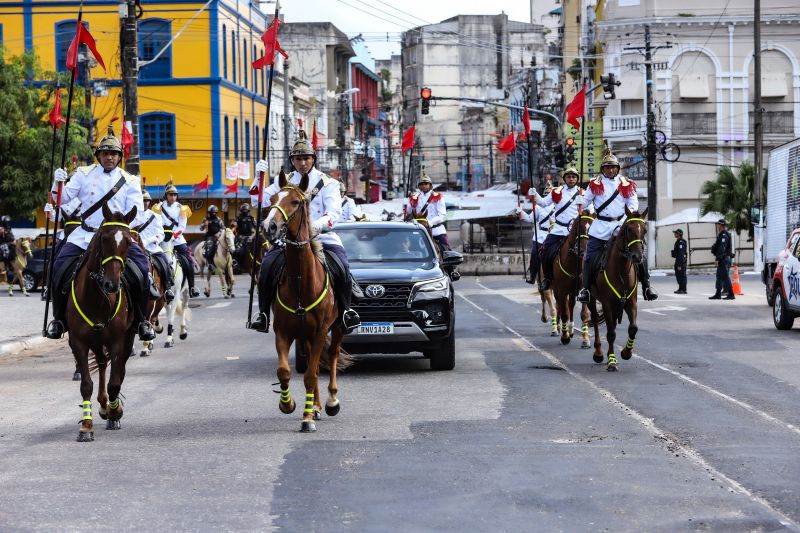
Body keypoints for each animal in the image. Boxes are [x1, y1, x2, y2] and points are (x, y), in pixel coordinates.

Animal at [68, 205, 139, 440]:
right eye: (104, 238)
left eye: (128, 241)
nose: (111, 285)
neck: (96, 298)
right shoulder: (78, 343)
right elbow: (86, 385)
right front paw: (86, 426)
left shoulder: (118, 341)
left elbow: (115, 382)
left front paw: (115, 412)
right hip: (97, 342)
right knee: (100, 363)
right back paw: (102, 404)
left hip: (125, 338)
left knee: (118, 370)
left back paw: (110, 408)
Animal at [266, 170, 346, 432]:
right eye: (272, 200)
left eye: (295, 202)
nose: (269, 226)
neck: (301, 281)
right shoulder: (282, 331)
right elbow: (284, 371)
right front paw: (288, 404)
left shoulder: (321, 331)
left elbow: (310, 375)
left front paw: (307, 418)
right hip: (305, 336)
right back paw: (317, 406)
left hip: (337, 327)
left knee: (332, 356)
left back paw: (330, 402)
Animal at [552, 210, 592, 348]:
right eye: (579, 228)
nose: (584, 251)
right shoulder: (562, 290)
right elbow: (564, 313)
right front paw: (565, 337)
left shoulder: (583, 290)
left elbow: (584, 314)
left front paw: (585, 340)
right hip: (557, 289)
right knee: (560, 305)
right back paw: (560, 329)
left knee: (570, 305)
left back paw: (571, 330)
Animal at [588, 206, 648, 372]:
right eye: (629, 229)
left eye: (645, 230)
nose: (637, 257)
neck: (621, 270)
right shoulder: (607, 304)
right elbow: (610, 334)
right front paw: (612, 361)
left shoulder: (631, 302)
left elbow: (633, 328)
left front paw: (626, 353)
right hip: (592, 299)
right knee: (596, 320)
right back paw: (599, 353)